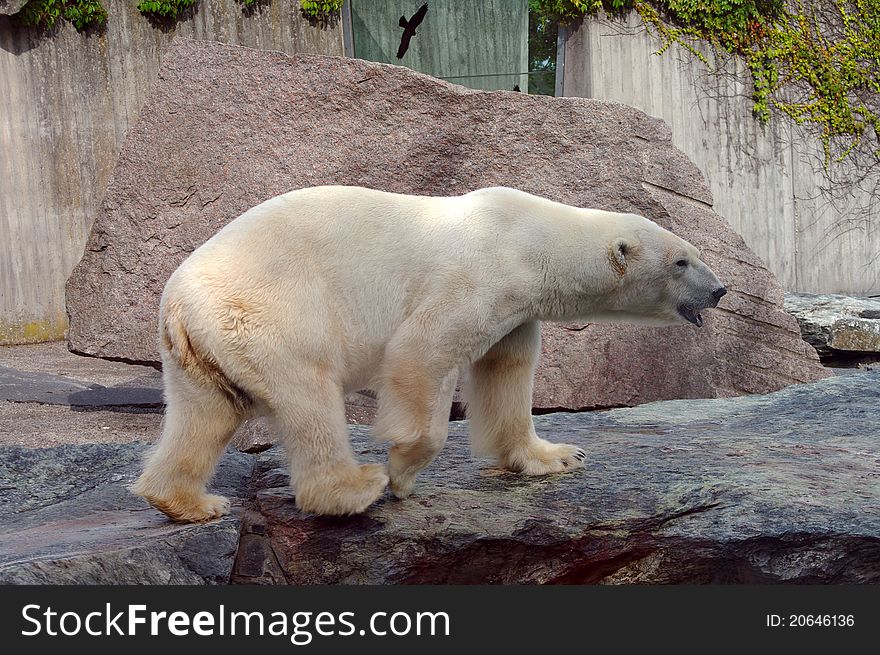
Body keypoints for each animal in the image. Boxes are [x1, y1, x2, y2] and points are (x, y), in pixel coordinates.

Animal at [129, 186, 720, 524]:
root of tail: (176, 303)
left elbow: (507, 373)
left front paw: (557, 455)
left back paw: (189, 502)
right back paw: (354, 488)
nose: (720, 290)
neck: (532, 239)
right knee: (309, 396)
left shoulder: (516, 308)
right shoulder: (478, 275)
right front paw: (403, 472)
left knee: (206, 413)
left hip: (206, 346)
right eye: (682, 261)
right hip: (271, 312)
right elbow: (423, 351)